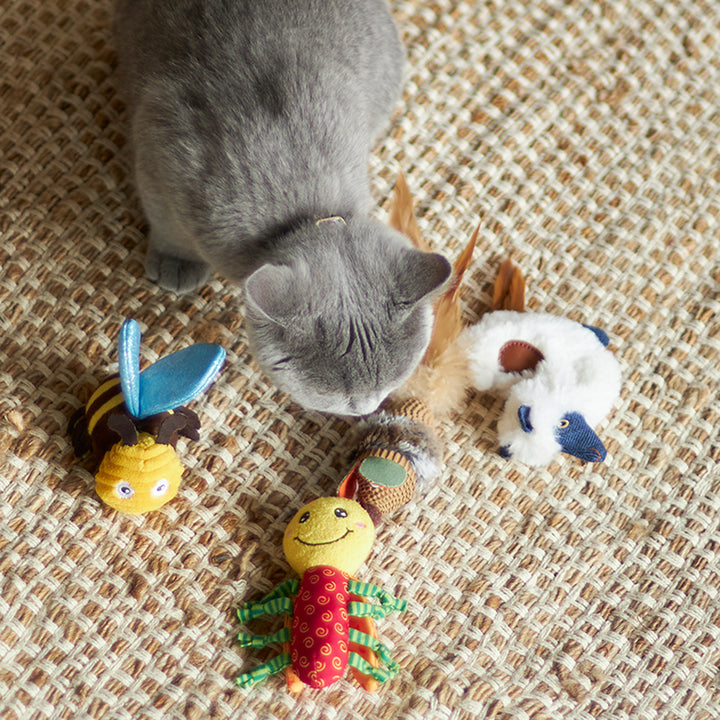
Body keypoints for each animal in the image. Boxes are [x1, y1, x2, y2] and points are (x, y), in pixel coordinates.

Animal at [114, 0, 450, 416]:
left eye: (394, 378)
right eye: (332, 392)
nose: (366, 407)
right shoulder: (160, 151)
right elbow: (168, 227)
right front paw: (177, 263)